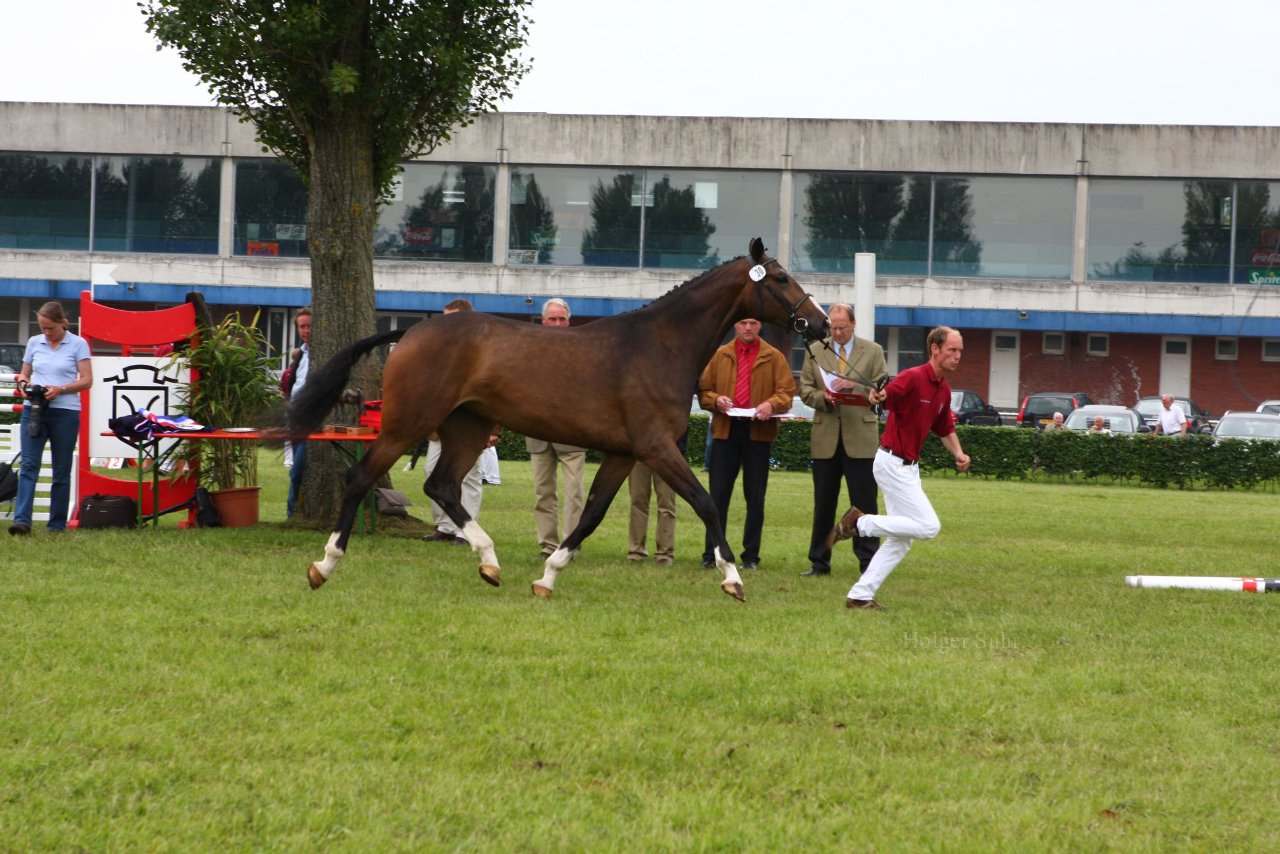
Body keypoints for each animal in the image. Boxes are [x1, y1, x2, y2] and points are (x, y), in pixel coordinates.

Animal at [286, 239, 829, 601]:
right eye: (781, 279)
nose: (820, 323)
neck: (659, 346)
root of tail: (410, 333)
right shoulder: (656, 448)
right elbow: (707, 503)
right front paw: (732, 579)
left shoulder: (623, 453)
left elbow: (589, 514)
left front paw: (547, 576)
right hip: (410, 424)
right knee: (362, 477)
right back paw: (323, 566)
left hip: (466, 428)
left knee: (441, 486)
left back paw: (490, 563)